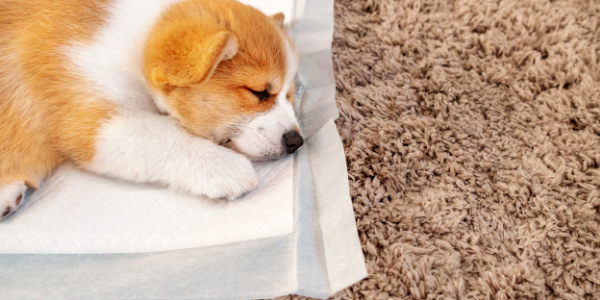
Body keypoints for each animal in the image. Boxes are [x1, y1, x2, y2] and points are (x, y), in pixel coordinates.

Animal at [0, 0, 302, 220]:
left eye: (289, 95)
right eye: (258, 93)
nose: (296, 142)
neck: (134, 46)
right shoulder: (88, 119)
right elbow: (161, 135)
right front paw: (226, 167)